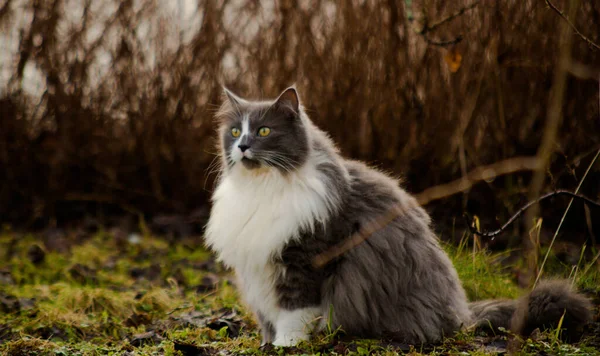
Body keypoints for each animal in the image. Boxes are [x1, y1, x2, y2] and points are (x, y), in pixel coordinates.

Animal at [204, 86, 592, 348]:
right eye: (235, 131)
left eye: (264, 131)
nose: (242, 146)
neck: (262, 188)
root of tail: (463, 312)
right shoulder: (257, 268)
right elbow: (267, 315)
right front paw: (267, 343)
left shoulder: (306, 259)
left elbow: (293, 312)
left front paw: (287, 345)